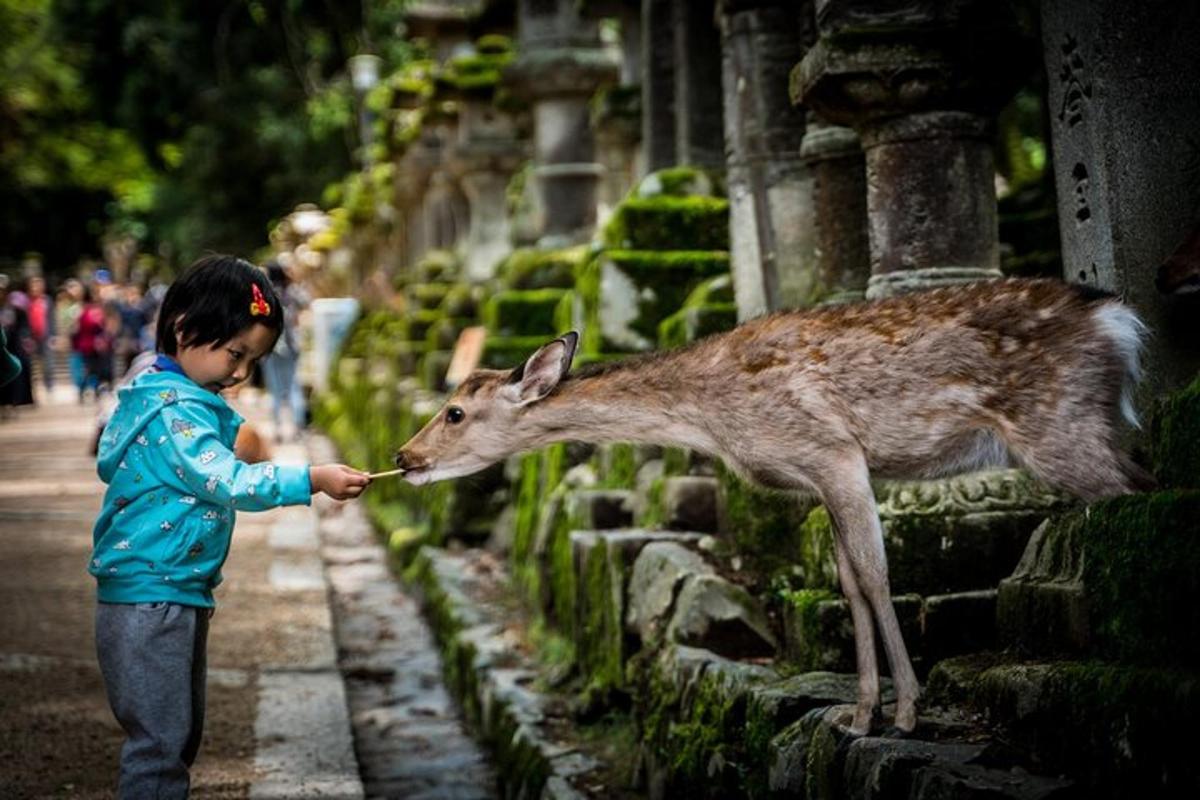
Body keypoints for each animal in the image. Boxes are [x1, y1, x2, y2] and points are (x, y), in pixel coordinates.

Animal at [391, 278, 1152, 734]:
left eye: (455, 411)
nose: (404, 455)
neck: (713, 417)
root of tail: (1116, 319)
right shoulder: (820, 477)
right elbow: (848, 584)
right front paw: (858, 715)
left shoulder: (835, 452)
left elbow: (875, 576)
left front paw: (905, 714)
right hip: (1094, 427)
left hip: (1062, 428)